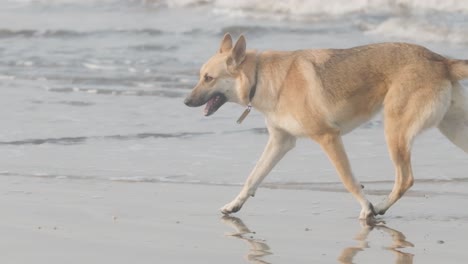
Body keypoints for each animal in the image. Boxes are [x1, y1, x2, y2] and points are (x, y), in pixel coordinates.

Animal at [185, 32, 468, 219]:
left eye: (208, 78)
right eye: (200, 76)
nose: (186, 101)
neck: (260, 76)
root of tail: (440, 59)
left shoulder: (328, 136)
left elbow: (349, 180)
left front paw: (366, 208)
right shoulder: (280, 142)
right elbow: (253, 177)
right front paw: (234, 205)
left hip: (395, 132)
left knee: (405, 179)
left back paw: (378, 208)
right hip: (453, 130)